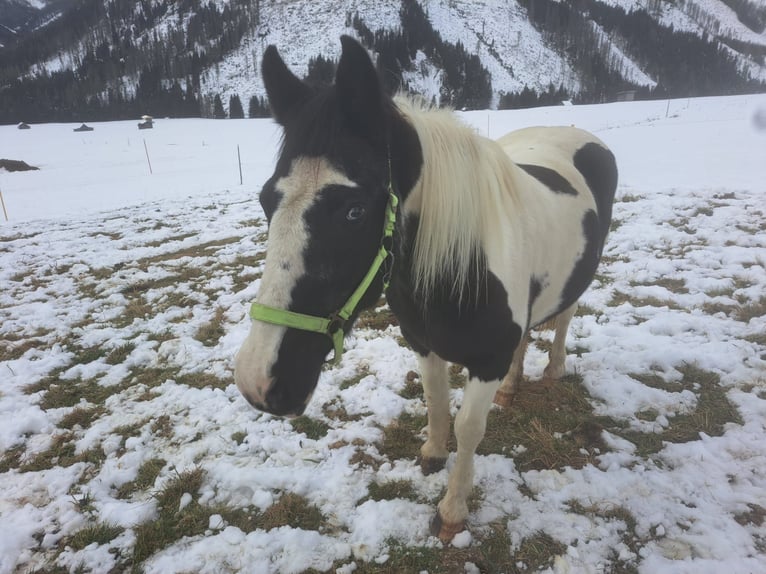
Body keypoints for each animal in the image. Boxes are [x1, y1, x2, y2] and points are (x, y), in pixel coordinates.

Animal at [235, 36, 617, 541]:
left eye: (355, 210)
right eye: (265, 200)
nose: (258, 381)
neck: (461, 265)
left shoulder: (486, 359)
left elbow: (470, 427)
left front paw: (452, 510)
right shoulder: (422, 341)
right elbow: (435, 400)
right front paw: (432, 454)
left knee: (564, 320)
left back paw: (553, 370)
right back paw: (512, 387)